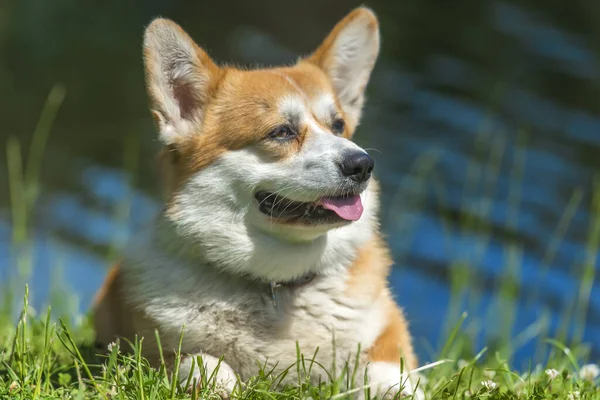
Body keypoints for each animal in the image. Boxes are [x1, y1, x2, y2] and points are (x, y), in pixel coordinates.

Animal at [94, 7, 422, 400]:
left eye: (338, 125)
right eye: (281, 132)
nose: (362, 165)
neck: (277, 282)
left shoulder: (386, 332)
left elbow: (389, 374)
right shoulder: (148, 351)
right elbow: (205, 364)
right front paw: (219, 382)